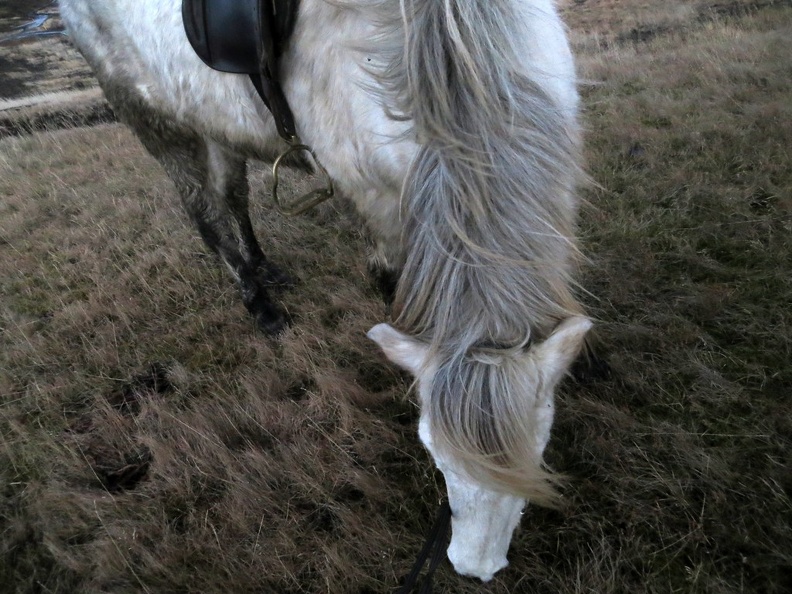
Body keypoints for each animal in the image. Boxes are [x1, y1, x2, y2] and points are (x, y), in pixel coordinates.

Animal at [58, 0, 592, 580]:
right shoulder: (379, 202)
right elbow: (392, 289)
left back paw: (265, 268)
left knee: (235, 196)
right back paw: (260, 305)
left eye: (540, 446)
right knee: (208, 216)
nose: (473, 566)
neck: (451, 54)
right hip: (160, 127)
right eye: (432, 452)